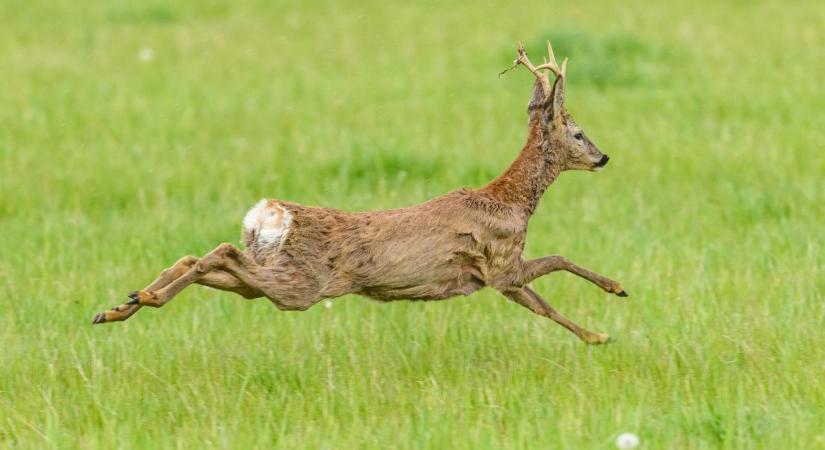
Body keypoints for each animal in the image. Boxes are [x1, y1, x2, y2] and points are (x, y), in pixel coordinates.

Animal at [91, 42, 624, 344]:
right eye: (578, 133)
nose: (603, 157)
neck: (510, 200)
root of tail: (269, 214)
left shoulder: (496, 274)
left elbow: (547, 292)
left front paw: (602, 322)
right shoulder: (500, 265)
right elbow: (554, 272)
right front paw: (605, 319)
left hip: (271, 277)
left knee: (204, 258)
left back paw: (122, 303)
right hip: (299, 285)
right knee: (217, 255)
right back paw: (138, 299)